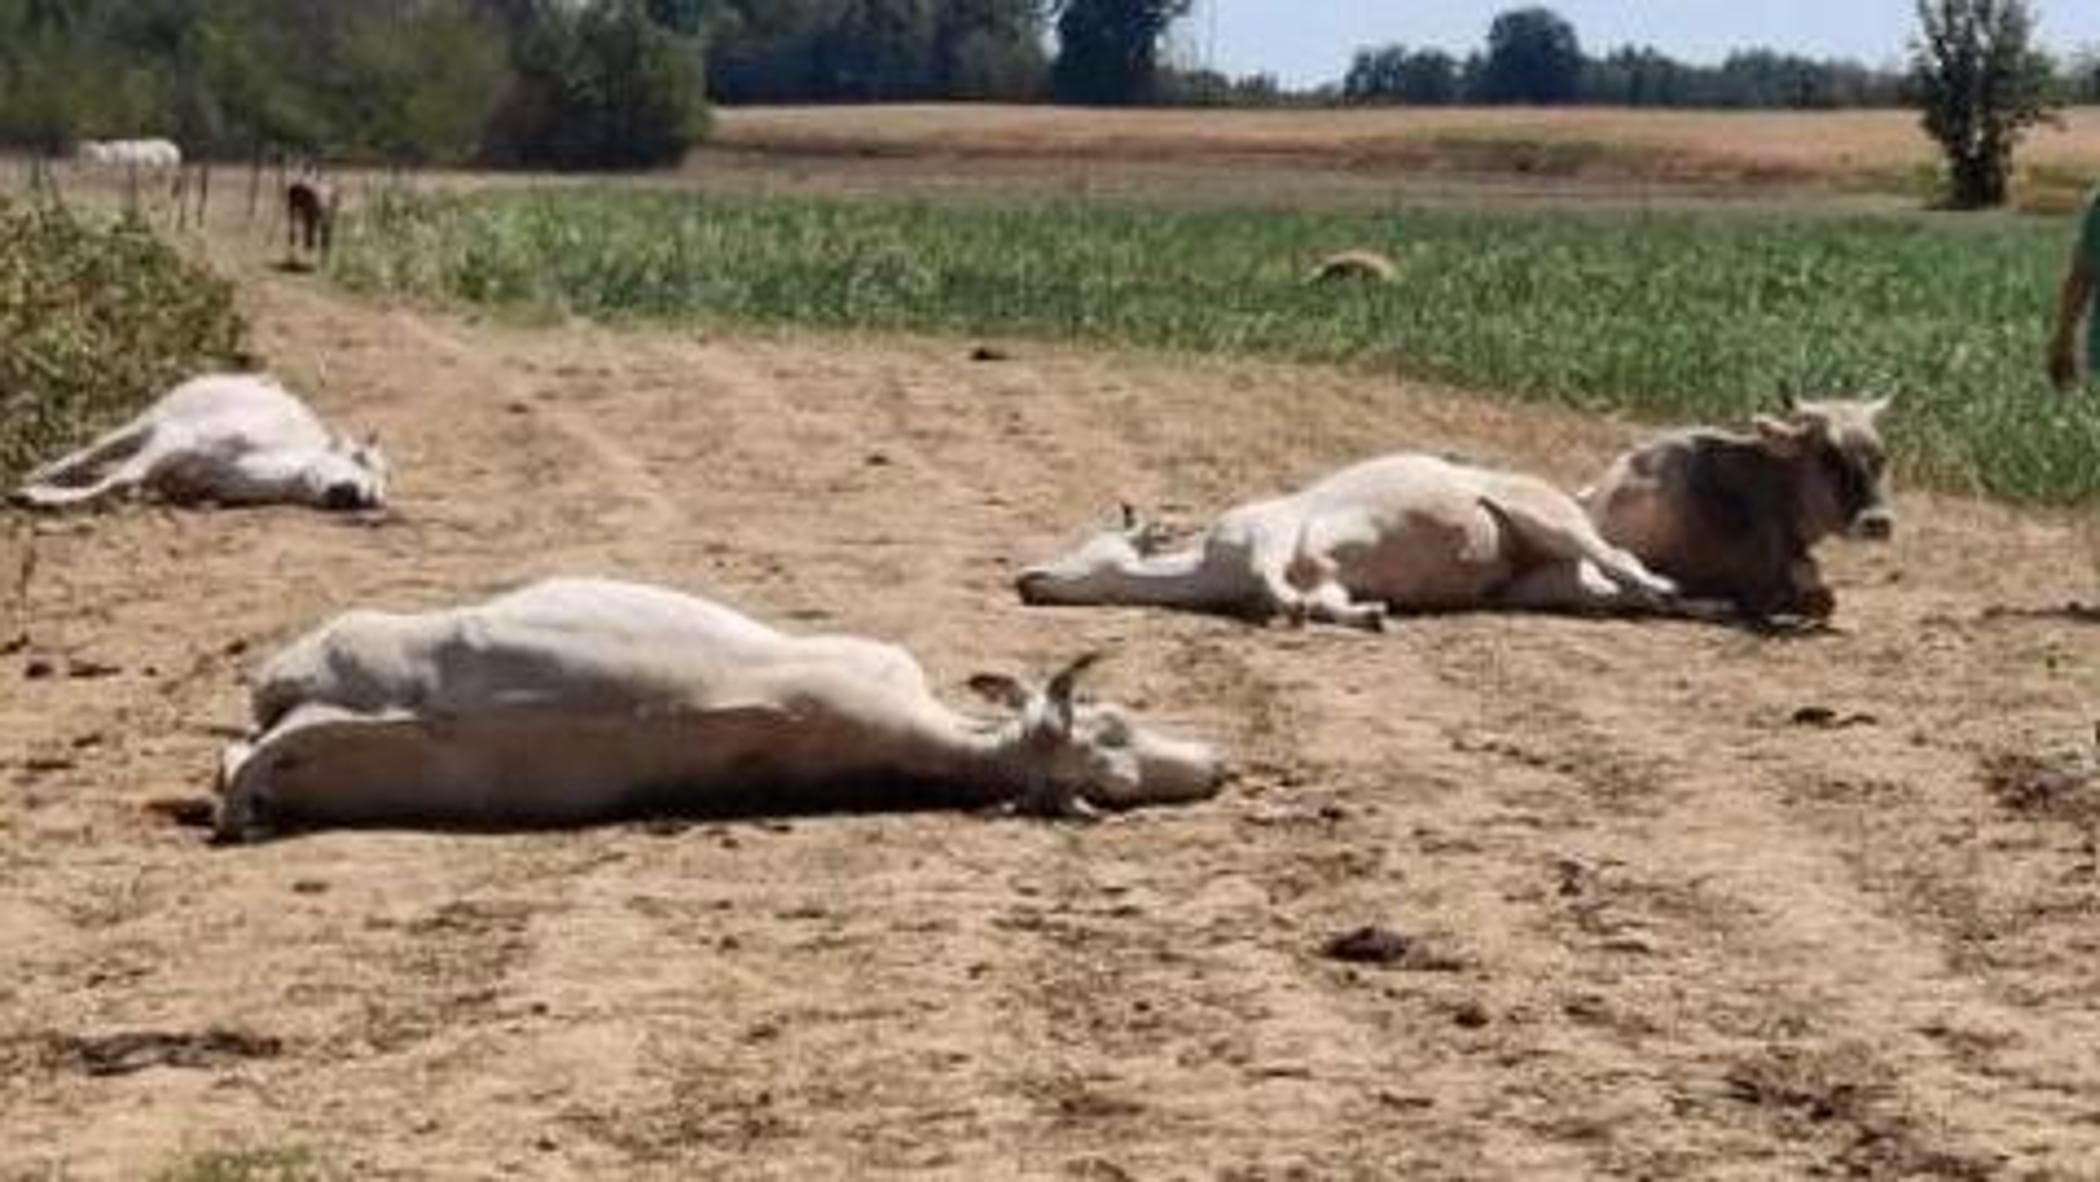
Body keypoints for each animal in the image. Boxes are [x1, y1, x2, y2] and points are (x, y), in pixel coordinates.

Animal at [15, 373, 390, 514]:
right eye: (358, 457)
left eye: (375, 498)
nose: (352, 494)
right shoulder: (173, 437)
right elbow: (120, 478)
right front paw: (37, 495)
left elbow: (124, 481)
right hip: (147, 420)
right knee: (91, 452)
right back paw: (35, 475)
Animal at [1007, 451, 1679, 634]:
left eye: (1090, 544)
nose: (1025, 578)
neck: (1206, 566)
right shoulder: (1325, 574)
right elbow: (1328, 597)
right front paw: (1367, 613)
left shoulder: (1268, 534)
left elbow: (1279, 579)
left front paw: (1295, 610)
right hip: (1548, 583)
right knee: (1610, 585)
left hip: (1549, 518)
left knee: (1620, 557)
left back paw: (1667, 588)